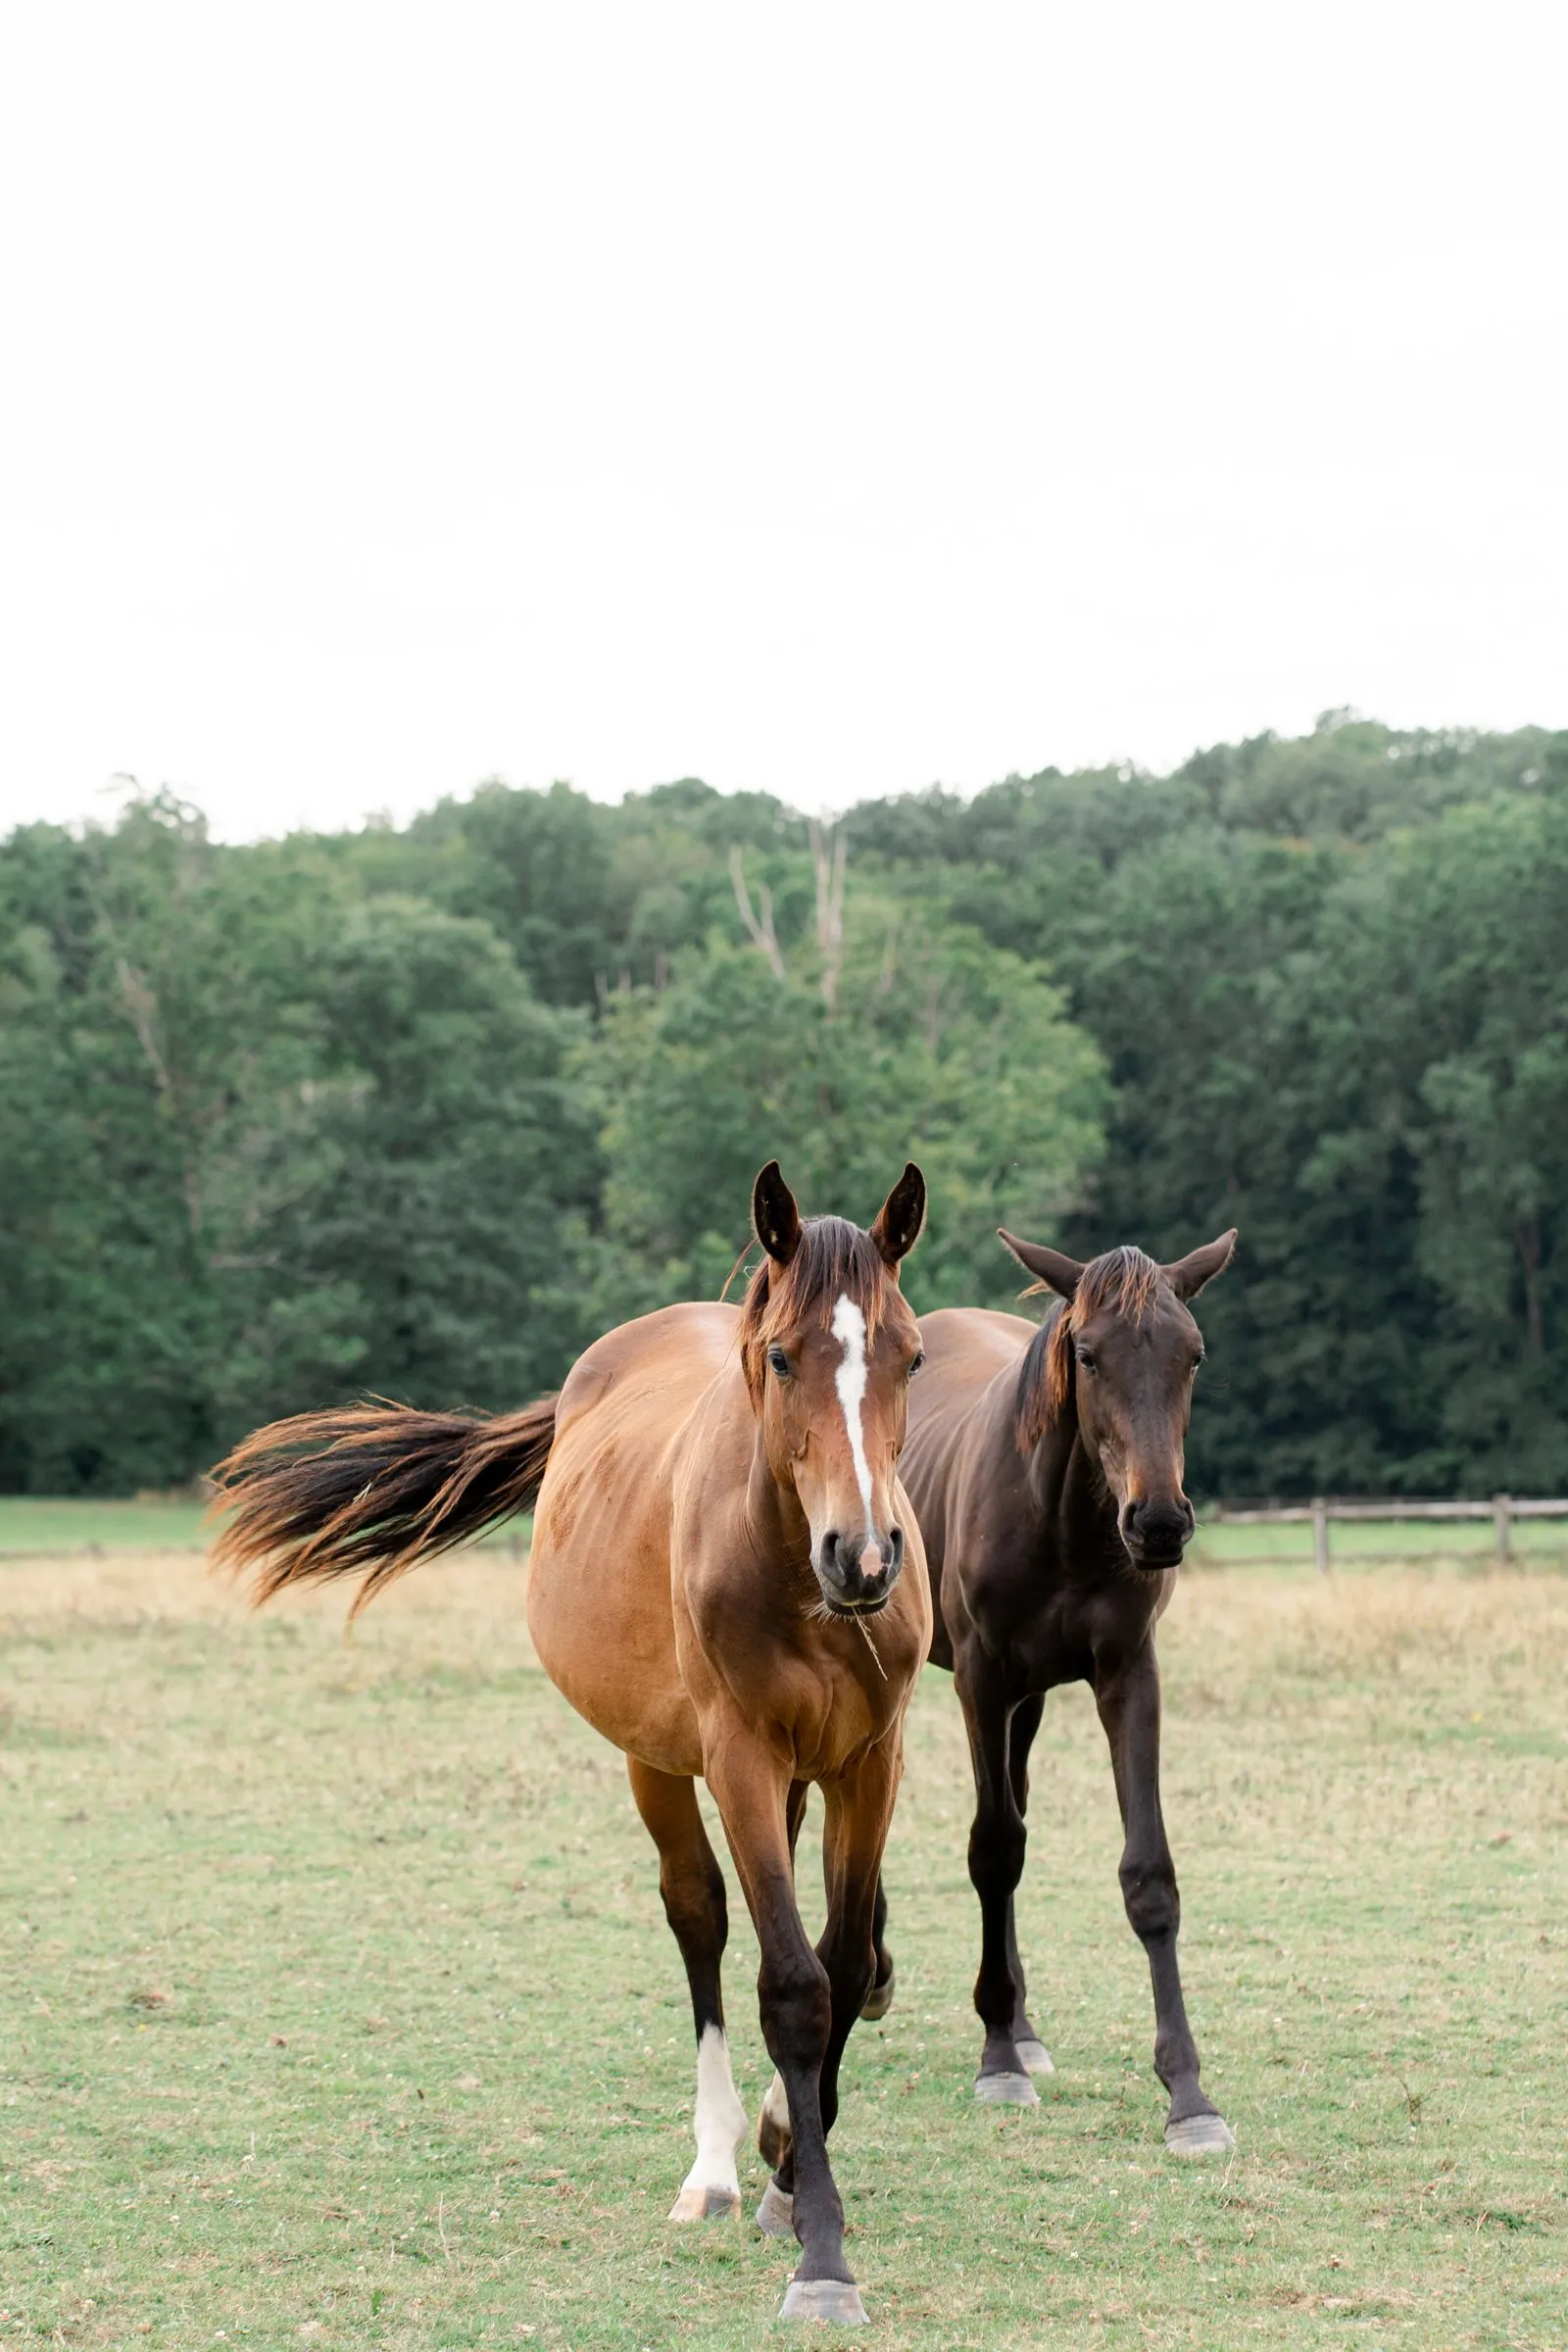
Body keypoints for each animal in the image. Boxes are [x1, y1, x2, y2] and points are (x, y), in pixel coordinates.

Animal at [211, 1161, 932, 2326]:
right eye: (782, 1356)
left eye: (911, 1354)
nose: (862, 1558)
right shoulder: (737, 1757)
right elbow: (791, 1986)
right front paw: (817, 2251)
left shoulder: (874, 1758)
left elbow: (848, 1958)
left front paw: (795, 2163)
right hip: (659, 1762)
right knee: (699, 1918)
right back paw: (714, 2170)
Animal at [897, 1222, 1238, 2154]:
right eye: (1087, 1354)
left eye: (1193, 1354)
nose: (1158, 1523)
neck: (1060, 1523)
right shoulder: (980, 1683)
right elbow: (991, 1851)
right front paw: (995, 2064)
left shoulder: (1127, 1676)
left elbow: (1146, 1874)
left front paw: (1188, 2094)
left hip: (1032, 1701)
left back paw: (1022, 2024)